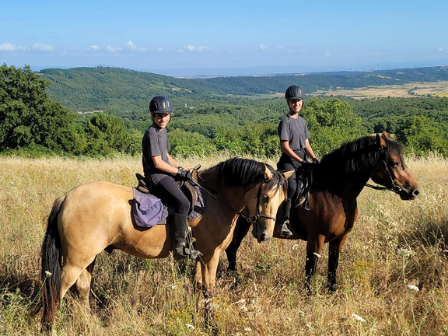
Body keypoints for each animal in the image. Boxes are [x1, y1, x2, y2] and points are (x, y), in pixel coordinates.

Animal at [38, 158, 290, 330]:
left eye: (282, 200)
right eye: (265, 197)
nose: (265, 234)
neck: (213, 200)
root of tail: (67, 197)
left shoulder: (200, 256)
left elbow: (198, 286)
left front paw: (196, 319)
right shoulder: (211, 256)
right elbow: (209, 290)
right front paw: (212, 325)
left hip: (88, 259)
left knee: (82, 289)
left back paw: (91, 325)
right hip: (75, 261)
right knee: (56, 290)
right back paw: (48, 327)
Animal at [226, 133, 418, 292]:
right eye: (394, 163)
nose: (415, 191)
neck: (336, 193)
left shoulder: (339, 239)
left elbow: (333, 265)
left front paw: (331, 291)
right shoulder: (316, 237)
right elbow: (311, 267)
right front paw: (308, 295)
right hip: (239, 226)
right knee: (231, 250)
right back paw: (233, 282)